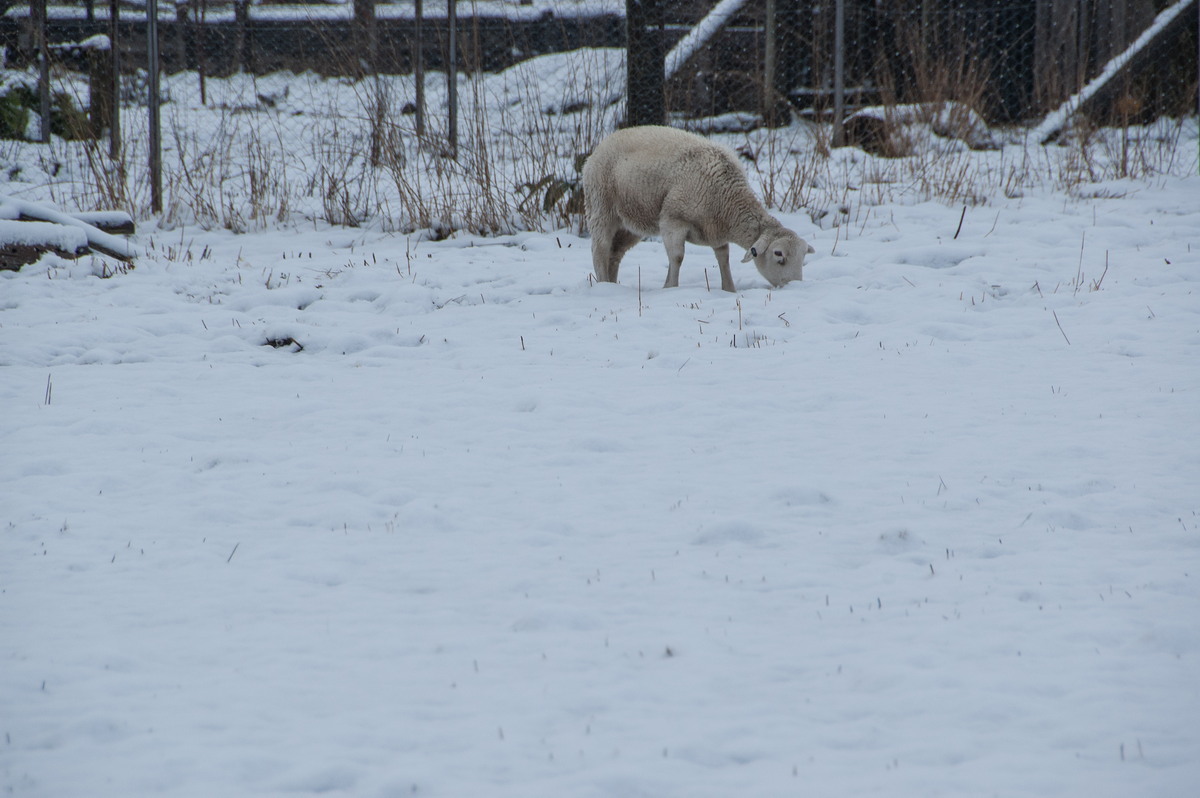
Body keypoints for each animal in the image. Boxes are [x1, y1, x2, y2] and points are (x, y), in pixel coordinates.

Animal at [580, 126, 816, 292]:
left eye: (803, 256)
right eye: (778, 254)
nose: (794, 286)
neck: (727, 198)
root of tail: (601, 145)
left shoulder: (716, 230)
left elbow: (723, 259)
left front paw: (729, 289)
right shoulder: (673, 220)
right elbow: (677, 257)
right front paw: (670, 288)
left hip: (631, 223)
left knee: (615, 253)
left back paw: (612, 285)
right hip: (600, 206)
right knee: (600, 250)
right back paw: (603, 285)